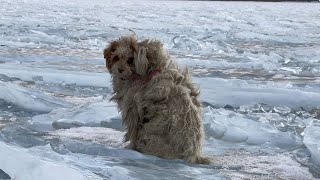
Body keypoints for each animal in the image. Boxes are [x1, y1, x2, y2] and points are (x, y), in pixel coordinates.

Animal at [103, 35, 210, 165]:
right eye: (116, 57)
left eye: (130, 60)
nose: (120, 70)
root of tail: (194, 156)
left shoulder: (133, 109)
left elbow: (133, 131)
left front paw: (129, 147)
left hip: (148, 138)